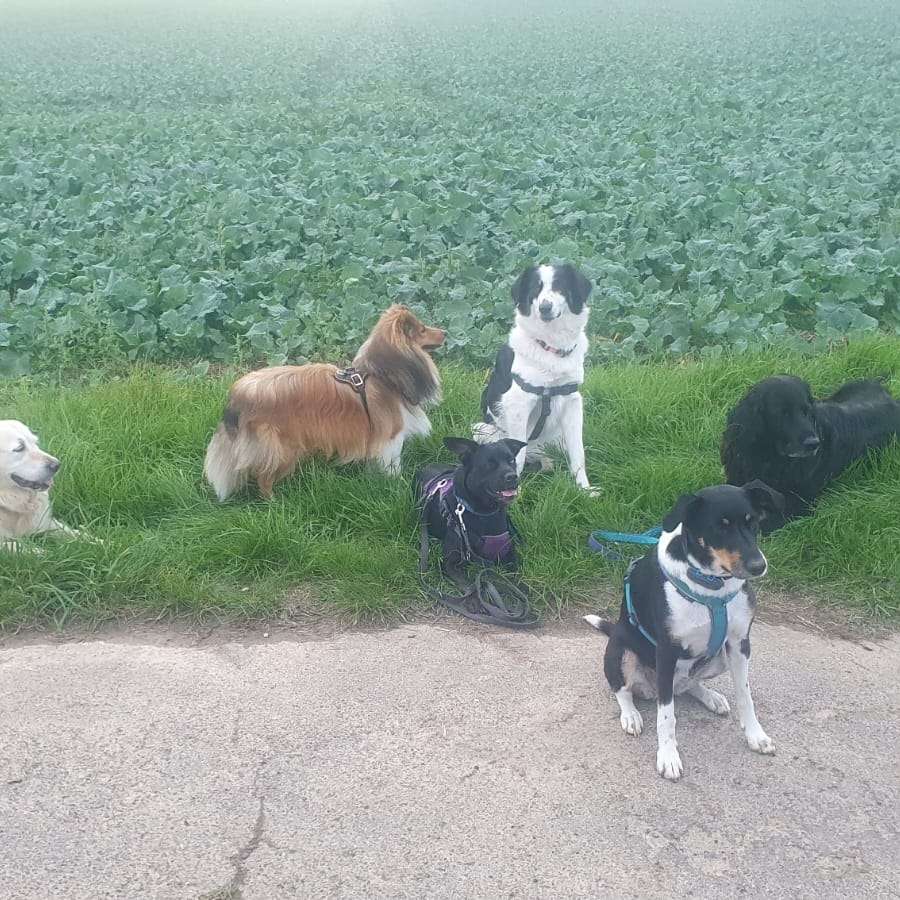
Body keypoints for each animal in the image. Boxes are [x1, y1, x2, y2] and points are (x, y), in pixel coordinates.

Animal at [0, 420, 79, 552]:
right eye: (19, 448)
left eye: (36, 443)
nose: (57, 465)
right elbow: (26, 550)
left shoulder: (46, 523)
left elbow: (75, 534)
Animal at [472, 264, 596, 496]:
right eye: (535, 289)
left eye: (559, 286)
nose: (545, 307)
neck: (551, 347)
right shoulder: (519, 402)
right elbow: (517, 456)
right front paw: (516, 493)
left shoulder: (572, 401)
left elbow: (578, 453)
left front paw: (584, 489)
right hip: (483, 430)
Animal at [588, 478, 784, 780]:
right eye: (720, 527)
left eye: (753, 523)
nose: (758, 566)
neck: (712, 585)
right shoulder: (667, 651)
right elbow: (666, 716)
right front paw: (668, 757)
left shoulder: (740, 644)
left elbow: (745, 695)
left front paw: (755, 735)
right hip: (621, 651)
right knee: (623, 689)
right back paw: (631, 714)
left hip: (719, 658)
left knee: (688, 684)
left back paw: (711, 697)